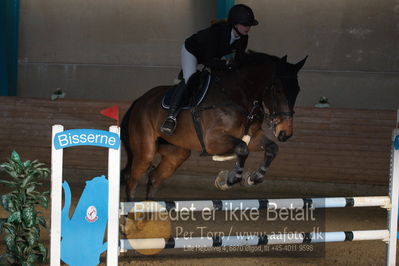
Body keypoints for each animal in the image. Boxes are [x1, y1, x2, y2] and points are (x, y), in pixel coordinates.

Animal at [120, 51, 308, 202]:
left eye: (298, 90)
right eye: (278, 90)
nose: (285, 132)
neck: (240, 95)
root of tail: (139, 101)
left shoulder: (252, 136)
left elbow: (271, 148)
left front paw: (254, 177)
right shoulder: (212, 140)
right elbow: (242, 149)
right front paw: (229, 180)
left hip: (177, 153)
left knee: (154, 178)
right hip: (146, 151)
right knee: (132, 180)